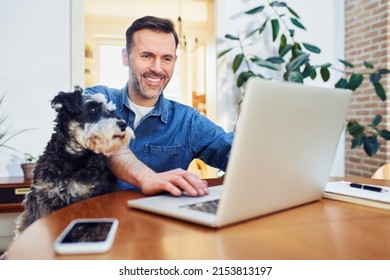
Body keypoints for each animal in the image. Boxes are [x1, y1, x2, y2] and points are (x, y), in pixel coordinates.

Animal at [14, 87, 134, 238]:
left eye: (111, 111)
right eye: (93, 108)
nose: (123, 125)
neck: (70, 158)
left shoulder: (85, 199)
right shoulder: (40, 198)